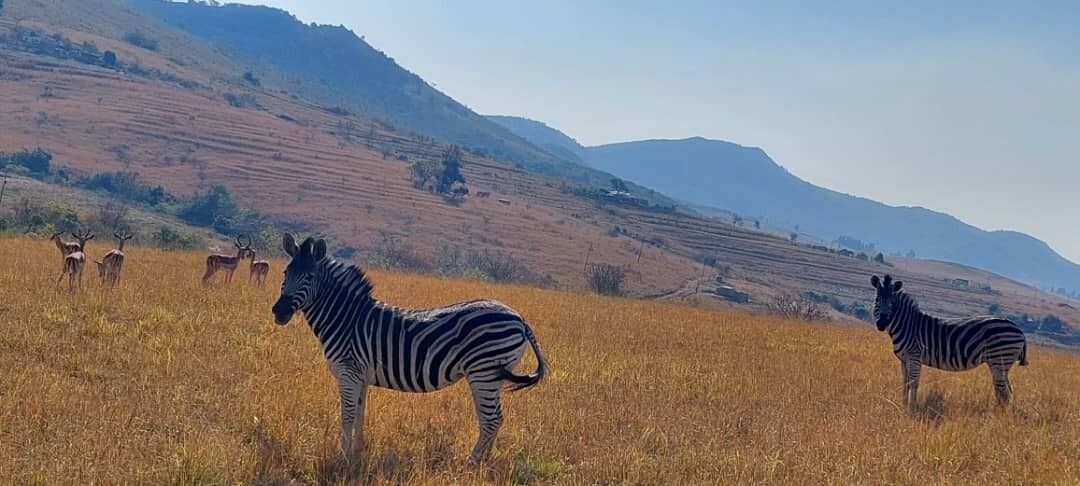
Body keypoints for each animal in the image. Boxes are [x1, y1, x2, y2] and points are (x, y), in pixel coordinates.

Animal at [270, 234, 549, 464]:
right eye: (285, 273)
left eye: (309, 277)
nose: (279, 311)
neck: (346, 319)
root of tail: (518, 317)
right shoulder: (360, 376)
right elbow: (360, 413)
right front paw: (358, 451)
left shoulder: (348, 372)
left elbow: (347, 416)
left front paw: (343, 457)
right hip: (494, 375)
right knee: (495, 418)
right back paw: (484, 461)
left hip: (484, 372)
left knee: (491, 420)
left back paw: (471, 463)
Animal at [871, 274, 1028, 409]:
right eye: (877, 300)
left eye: (892, 303)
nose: (881, 324)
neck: (907, 325)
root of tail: (1018, 329)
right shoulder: (904, 359)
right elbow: (905, 383)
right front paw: (902, 406)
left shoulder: (915, 356)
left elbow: (914, 383)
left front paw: (912, 408)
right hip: (1000, 363)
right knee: (1006, 391)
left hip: (999, 360)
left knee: (1003, 393)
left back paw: (997, 416)